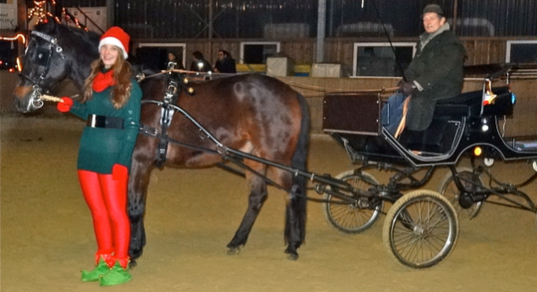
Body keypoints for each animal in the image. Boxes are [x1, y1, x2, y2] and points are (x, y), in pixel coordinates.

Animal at [13, 21, 310, 266]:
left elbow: (134, 207)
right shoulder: (130, 163)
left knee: (293, 191)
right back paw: (238, 241)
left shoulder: (139, 161)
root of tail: (291, 92)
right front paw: (137, 244)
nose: (20, 99)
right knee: (257, 197)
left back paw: (293, 245)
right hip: (252, 157)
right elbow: (133, 205)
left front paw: (132, 253)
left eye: (40, 54)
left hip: (277, 158)